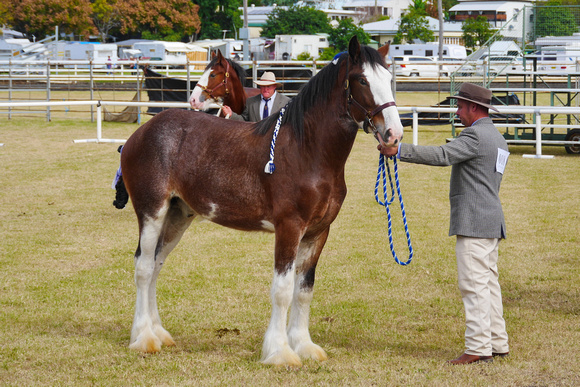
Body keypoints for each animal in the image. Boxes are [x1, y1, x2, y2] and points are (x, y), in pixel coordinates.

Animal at [114, 38, 404, 368]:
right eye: (362, 80)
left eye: (389, 79)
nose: (394, 134)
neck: (306, 150)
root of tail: (137, 136)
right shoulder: (289, 227)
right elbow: (283, 290)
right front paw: (280, 352)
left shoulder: (318, 232)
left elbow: (304, 290)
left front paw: (304, 345)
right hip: (152, 211)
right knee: (143, 267)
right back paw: (143, 338)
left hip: (177, 216)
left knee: (156, 264)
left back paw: (159, 333)